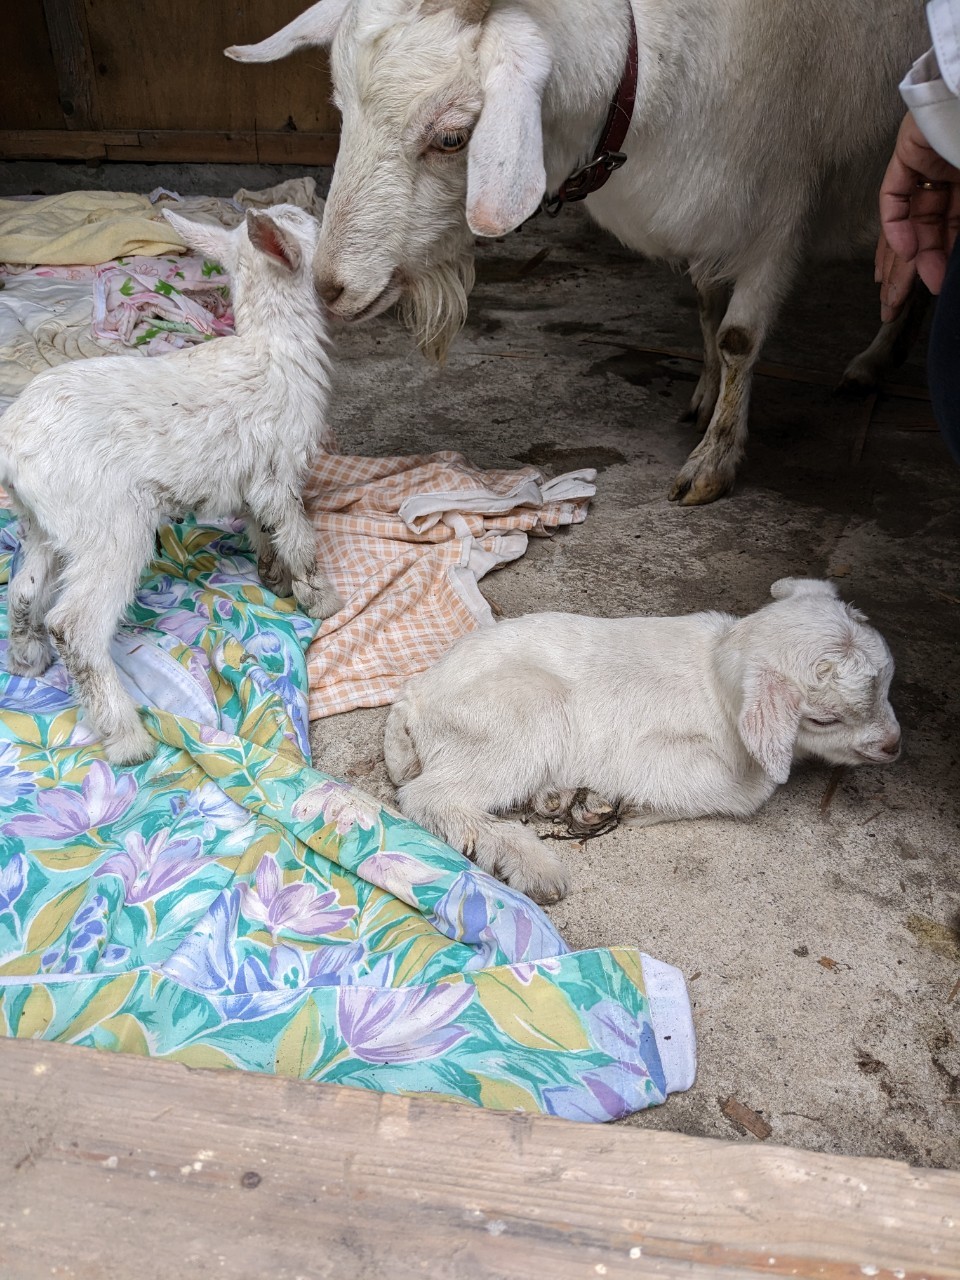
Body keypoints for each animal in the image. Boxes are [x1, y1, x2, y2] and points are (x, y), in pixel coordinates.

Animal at [0, 199, 343, 757]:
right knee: (74, 625)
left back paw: (27, 660)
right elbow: (298, 537)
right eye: (298, 218)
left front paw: (271, 574)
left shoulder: (251, 475)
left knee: (25, 588)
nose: (317, 212)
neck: (271, 343)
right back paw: (126, 737)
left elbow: (261, 526)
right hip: (110, 525)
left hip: (43, 520)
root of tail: (10, 442)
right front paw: (321, 599)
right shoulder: (279, 469)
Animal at [227, 2, 931, 506]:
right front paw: (704, 394)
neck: (645, 72)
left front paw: (714, 461)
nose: (329, 289)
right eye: (341, 110)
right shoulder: (707, 220)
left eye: (452, 137)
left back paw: (872, 361)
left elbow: (738, 338)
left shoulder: (780, 212)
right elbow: (707, 305)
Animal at [381, 581, 901, 901]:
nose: (892, 747)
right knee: (430, 797)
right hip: (524, 714)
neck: (716, 672)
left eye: (889, 683)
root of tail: (417, 695)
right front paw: (627, 805)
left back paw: (557, 799)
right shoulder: (664, 755)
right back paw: (536, 865)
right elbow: (740, 792)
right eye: (824, 719)